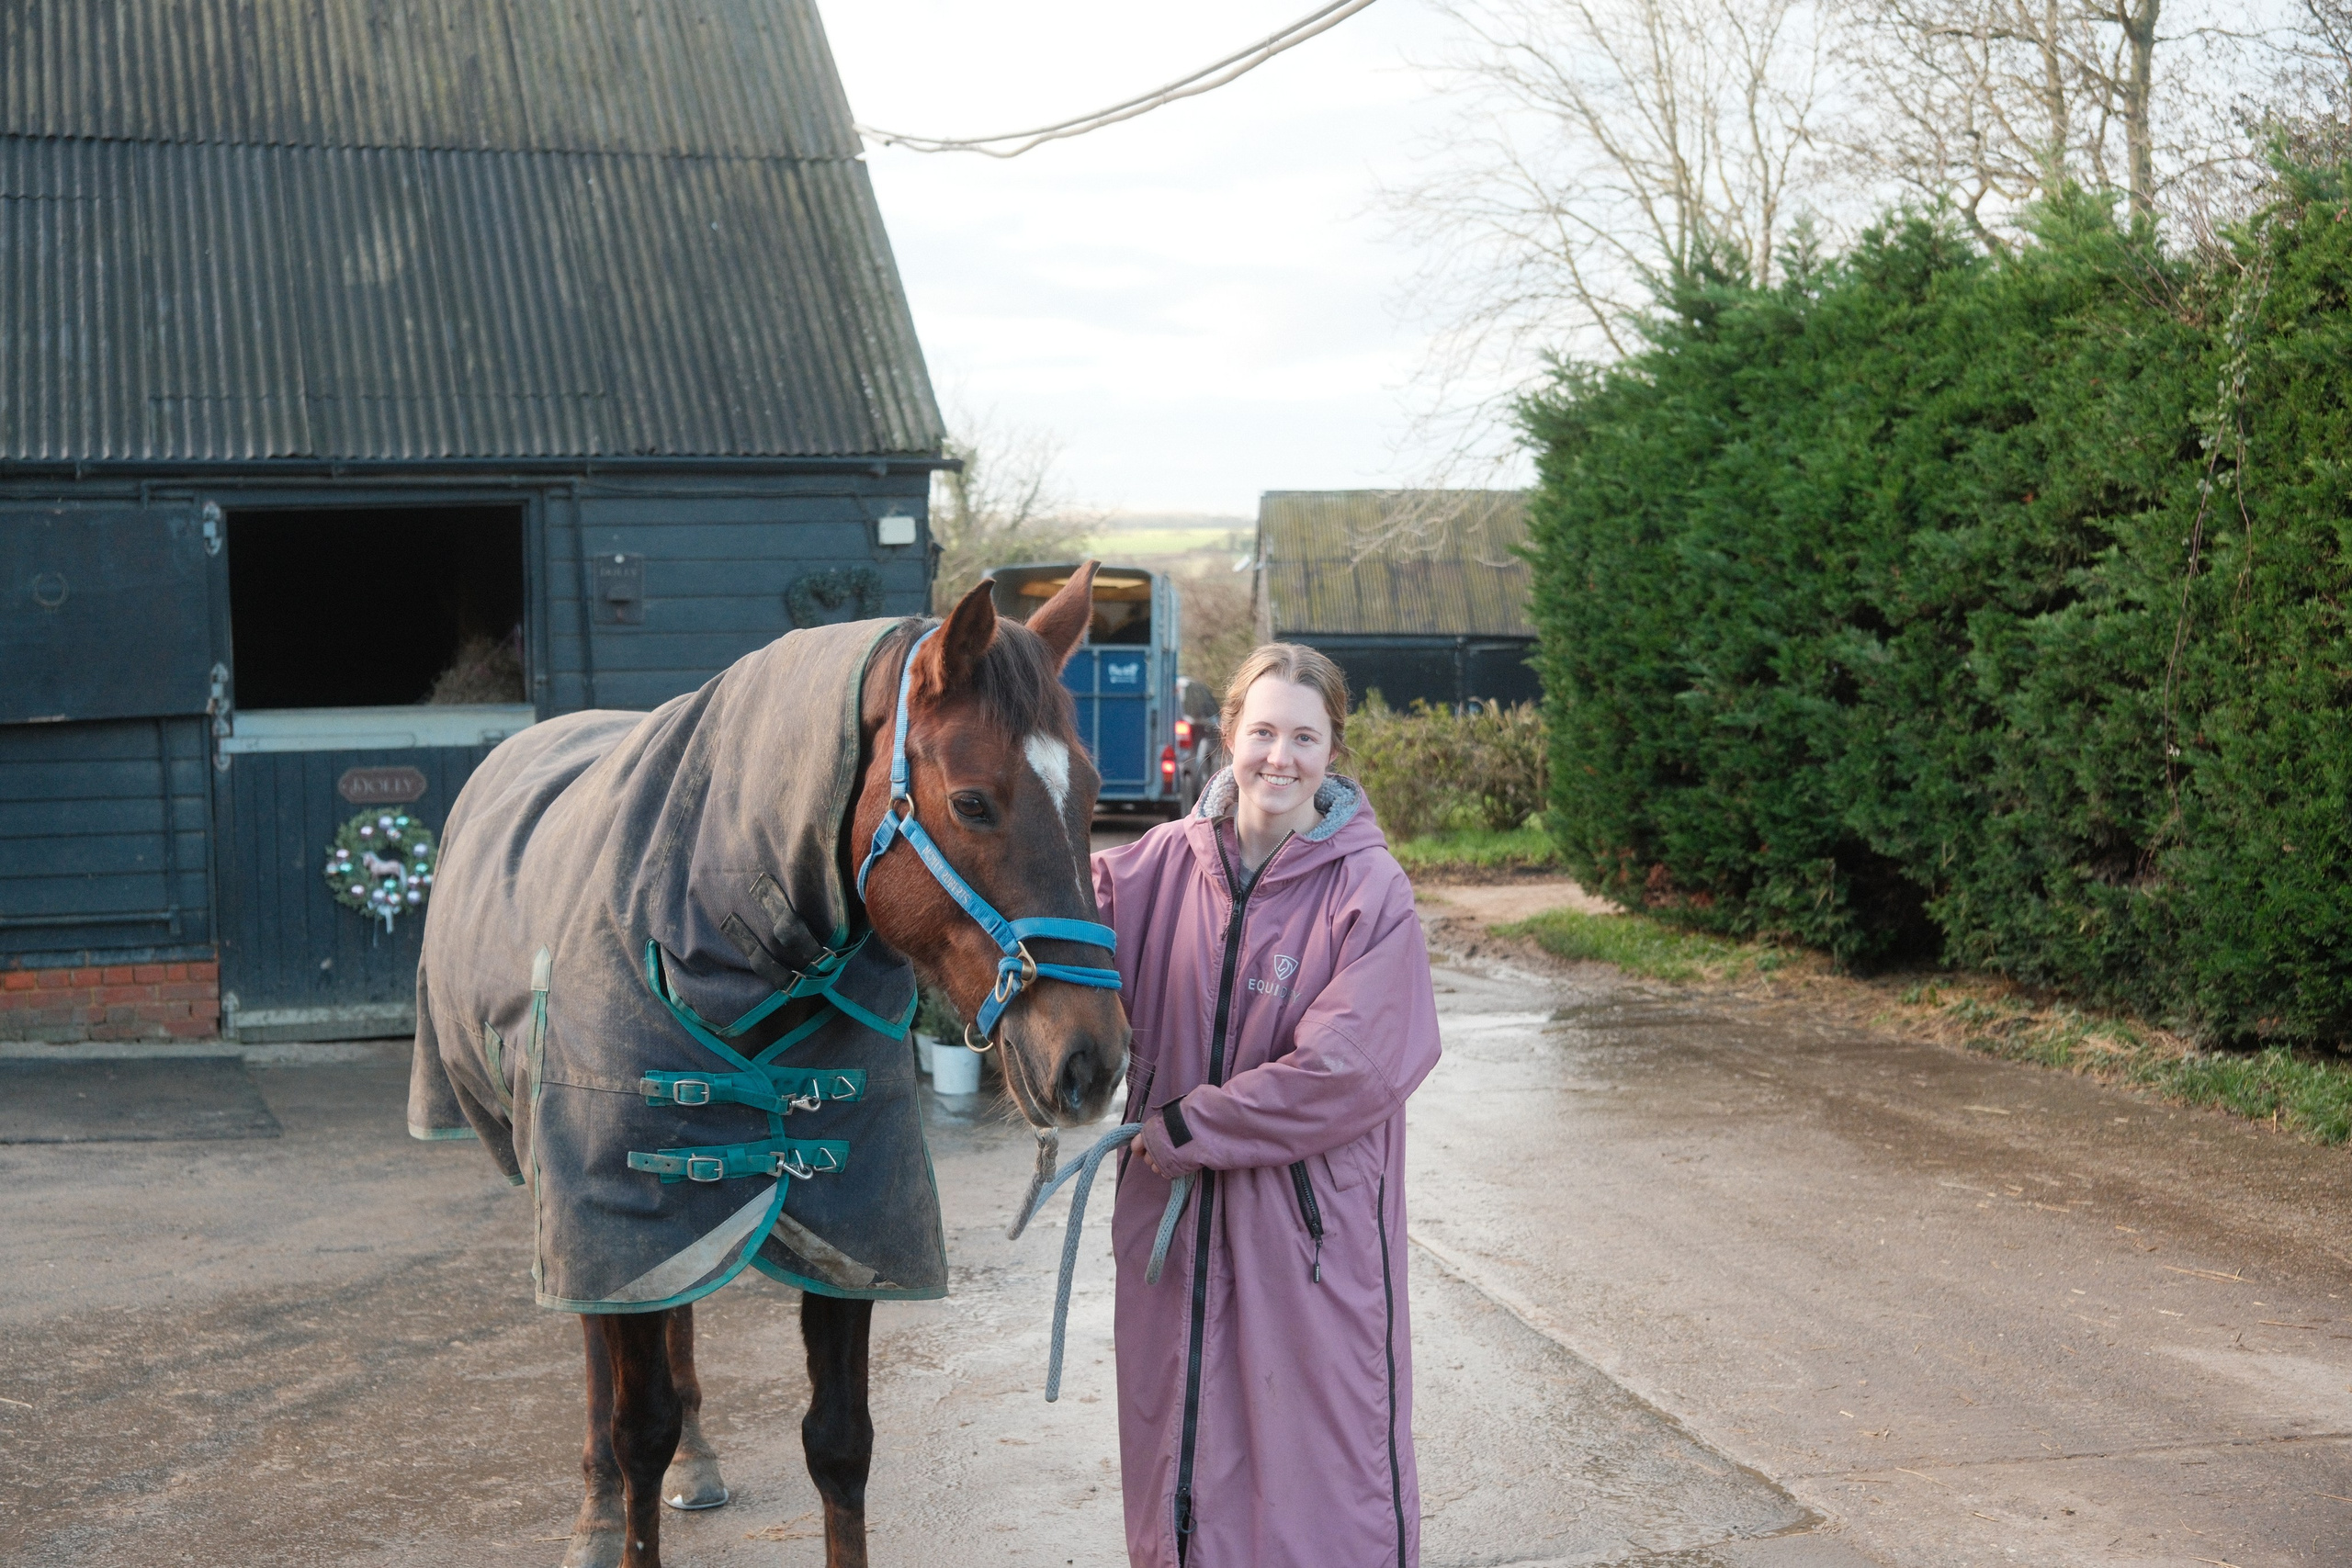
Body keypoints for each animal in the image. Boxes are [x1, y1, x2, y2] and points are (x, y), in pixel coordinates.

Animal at [409, 566, 1128, 1568]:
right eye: (973, 801)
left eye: (1090, 790)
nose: (1091, 1058)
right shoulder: (620, 1208)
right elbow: (638, 1431)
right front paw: (621, 1507)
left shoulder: (850, 1219)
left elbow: (839, 1441)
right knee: (599, 1345)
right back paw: (594, 1512)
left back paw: (700, 1460)